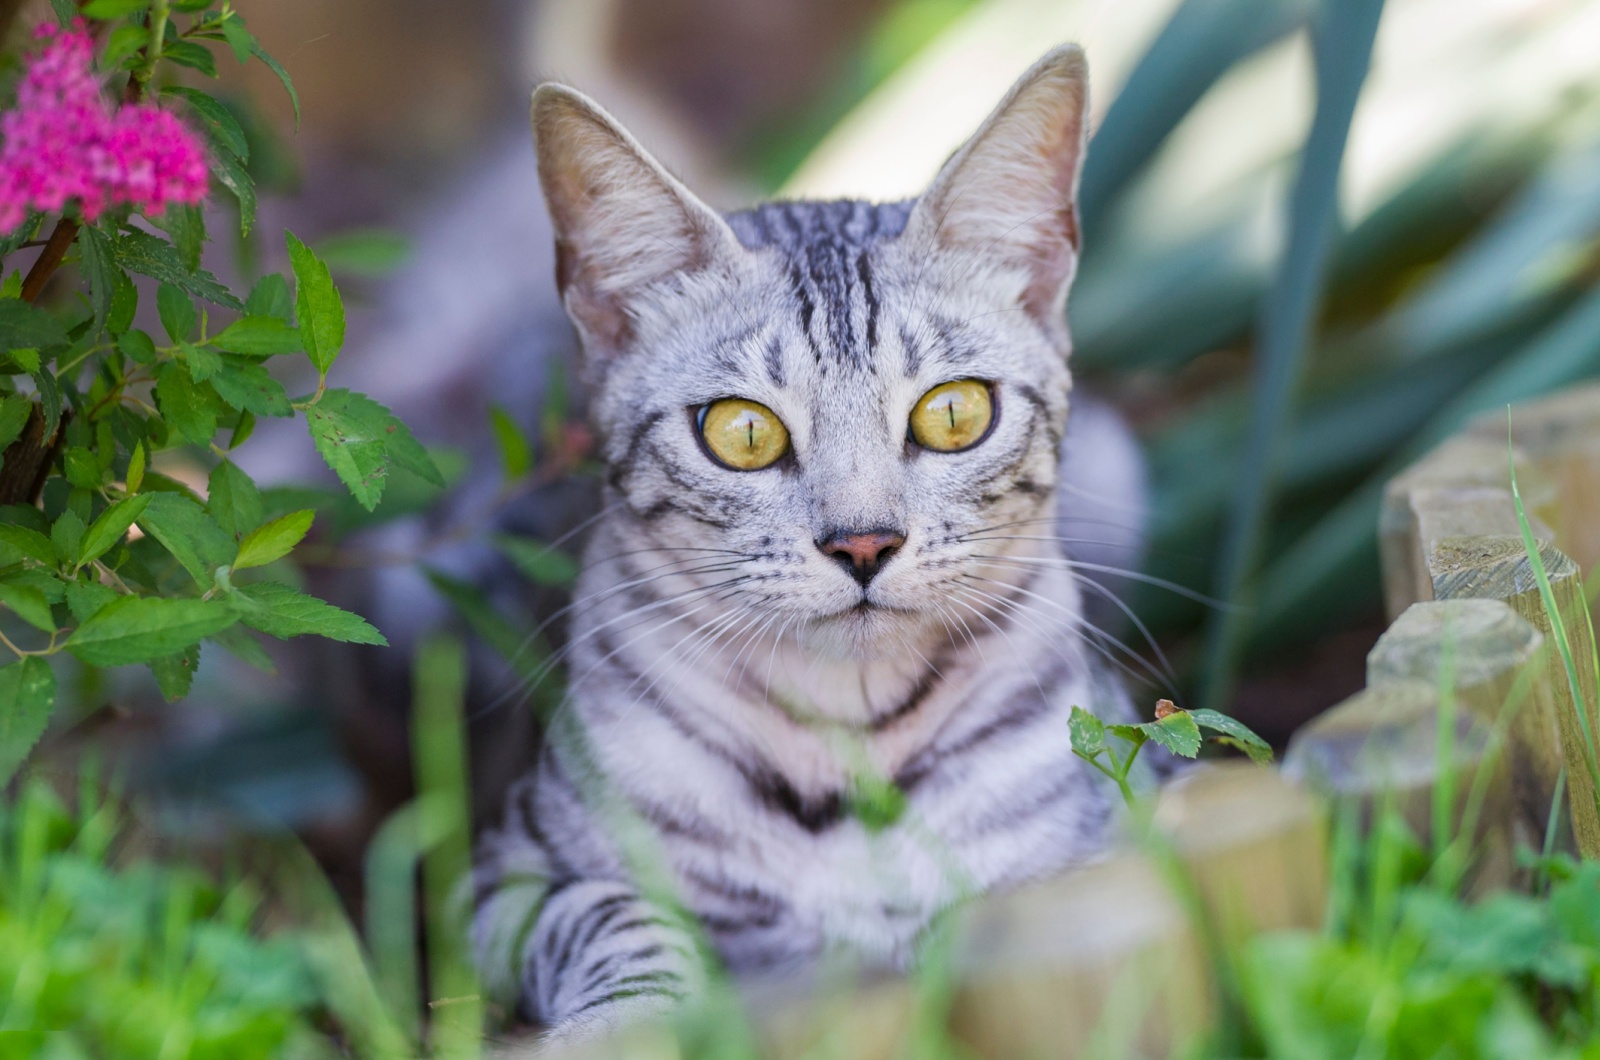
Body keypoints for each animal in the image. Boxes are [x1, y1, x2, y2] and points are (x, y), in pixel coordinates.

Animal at [467, 43, 1152, 1043]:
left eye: (954, 414)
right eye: (743, 432)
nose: (863, 544)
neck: (845, 751)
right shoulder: (497, 879)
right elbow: (616, 917)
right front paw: (615, 1029)